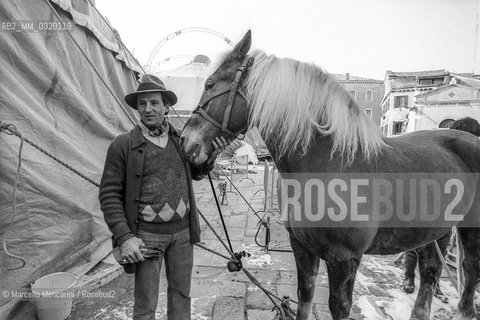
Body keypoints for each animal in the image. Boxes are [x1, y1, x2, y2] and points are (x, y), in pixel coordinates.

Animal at [180, 30, 480, 320]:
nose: (185, 141)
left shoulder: (344, 260)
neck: (330, 164)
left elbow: (339, 307)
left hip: (469, 228)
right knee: (431, 271)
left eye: (209, 85)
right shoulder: (302, 247)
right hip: (437, 231)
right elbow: (305, 296)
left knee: (469, 268)